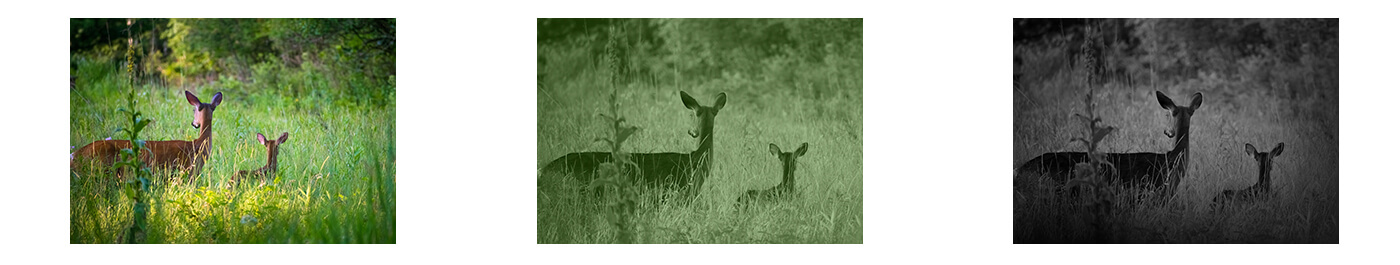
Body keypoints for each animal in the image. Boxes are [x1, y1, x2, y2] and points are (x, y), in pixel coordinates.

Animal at [68, 89, 221, 183]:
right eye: (193, 110)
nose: (194, 124)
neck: (199, 145)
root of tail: (74, 155)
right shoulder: (188, 171)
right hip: (102, 168)